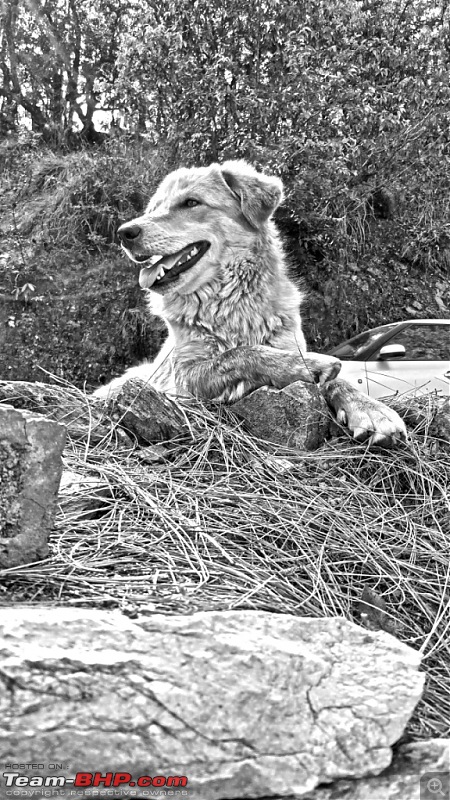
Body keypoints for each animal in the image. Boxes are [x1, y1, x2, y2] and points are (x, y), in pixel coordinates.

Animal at [95, 159, 408, 446]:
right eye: (153, 209)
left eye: (191, 202)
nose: (124, 233)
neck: (230, 302)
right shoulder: (183, 377)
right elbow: (239, 353)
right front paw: (302, 365)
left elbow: (339, 380)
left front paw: (371, 409)